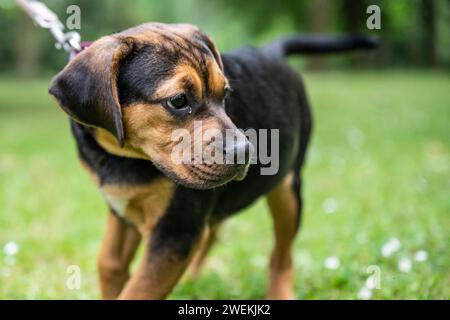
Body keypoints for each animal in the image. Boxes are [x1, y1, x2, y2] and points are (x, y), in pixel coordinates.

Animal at [48, 23, 376, 300]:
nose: (246, 152)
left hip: (287, 189)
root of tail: (271, 52)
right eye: (178, 100)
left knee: (281, 256)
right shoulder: (124, 208)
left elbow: (136, 291)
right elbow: (109, 262)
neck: (122, 156)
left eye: (225, 94)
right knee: (214, 230)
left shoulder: (175, 232)